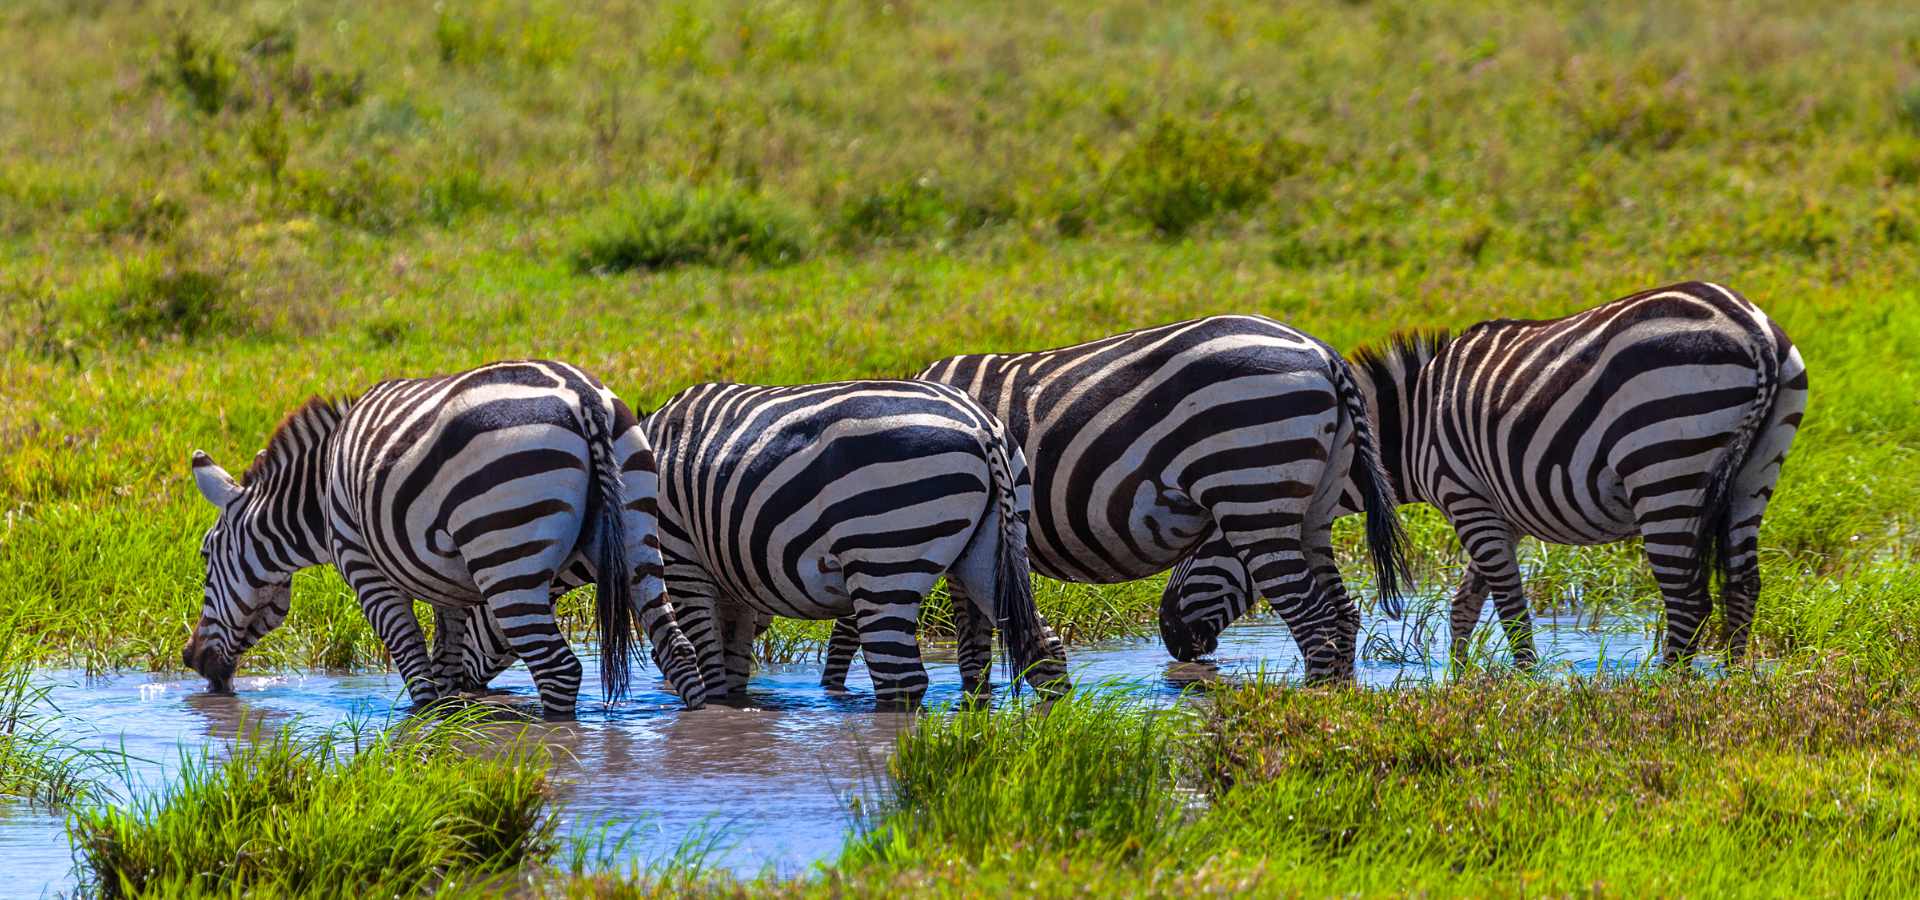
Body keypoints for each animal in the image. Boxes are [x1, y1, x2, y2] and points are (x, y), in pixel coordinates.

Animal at [184, 360, 710, 719]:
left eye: (206, 556)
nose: (191, 659)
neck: (319, 491)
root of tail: (582, 398)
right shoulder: (445, 584)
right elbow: (446, 665)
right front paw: (451, 721)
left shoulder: (365, 570)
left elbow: (416, 670)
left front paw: (421, 734)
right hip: (640, 533)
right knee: (679, 650)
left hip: (506, 552)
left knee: (558, 669)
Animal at [814, 315, 1411, 687]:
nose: (1171, 636)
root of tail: (1322, 353)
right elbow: (967, 651)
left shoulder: (894, 531)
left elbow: (852, 633)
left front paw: (835, 696)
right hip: (1310, 507)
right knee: (1342, 615)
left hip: (1251, 484)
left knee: (1316, 622)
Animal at [1157, 282, 1808, 669]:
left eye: (1206, 538)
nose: (1170, 638)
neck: (1409, 427)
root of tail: (1752, 329)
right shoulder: (1499, 510)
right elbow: (1465, 603)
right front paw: (1461, 679)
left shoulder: (1465, 496)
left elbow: (1509, 607)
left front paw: (1522, 685)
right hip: (1755, 471)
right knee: (1744, 584)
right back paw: (1730, 681)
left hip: (1665, 463)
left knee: (1687, 598)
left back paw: (1666, 689)